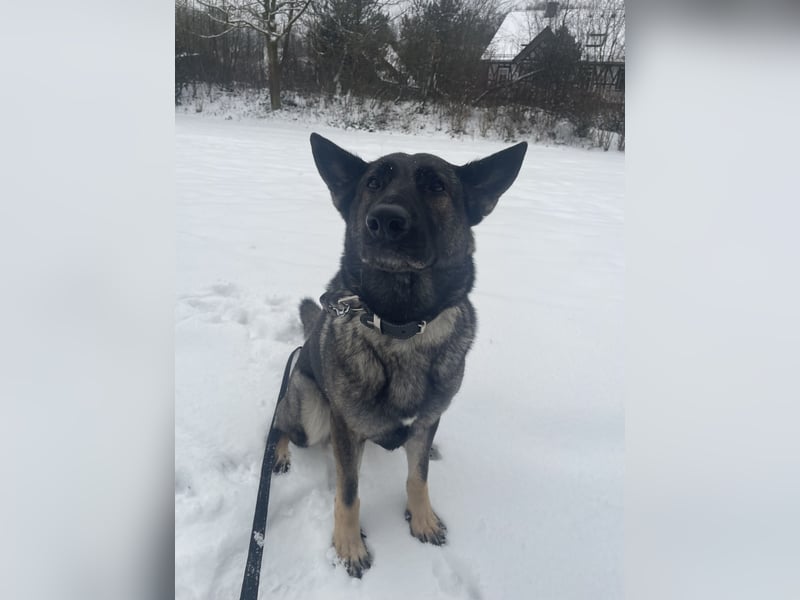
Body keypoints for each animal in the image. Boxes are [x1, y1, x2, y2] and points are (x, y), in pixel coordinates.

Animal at [273, 133, 527, 577]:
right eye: (373, 183)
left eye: (436, 186)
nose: (385, 221)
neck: (401, 325)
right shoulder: (344, 427)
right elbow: (348, 493)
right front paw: (348, 546)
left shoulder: (427, 421)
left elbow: (418, 476)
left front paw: (422, 518)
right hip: (310, 409)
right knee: (279, 425)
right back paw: (282, 452)